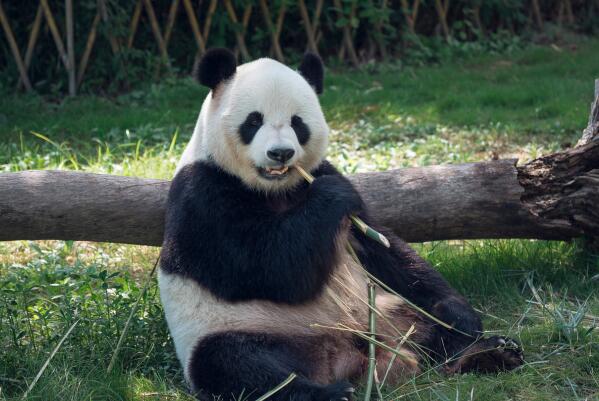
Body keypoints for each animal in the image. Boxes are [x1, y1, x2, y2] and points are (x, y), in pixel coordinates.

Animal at [161, 48, 524, 398]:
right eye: (253, 121)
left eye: (297, 123)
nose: (281, 153)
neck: (275, 190)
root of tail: (344, 358)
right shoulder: (202, 195)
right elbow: (267, 266)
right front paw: (330, 196)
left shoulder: (333, 186)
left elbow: (388, 251)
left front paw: (460, 316)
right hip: (239, 328)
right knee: (236, 365)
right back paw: (327, 394)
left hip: (385, 310)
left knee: (428, 325)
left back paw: (486, 352)